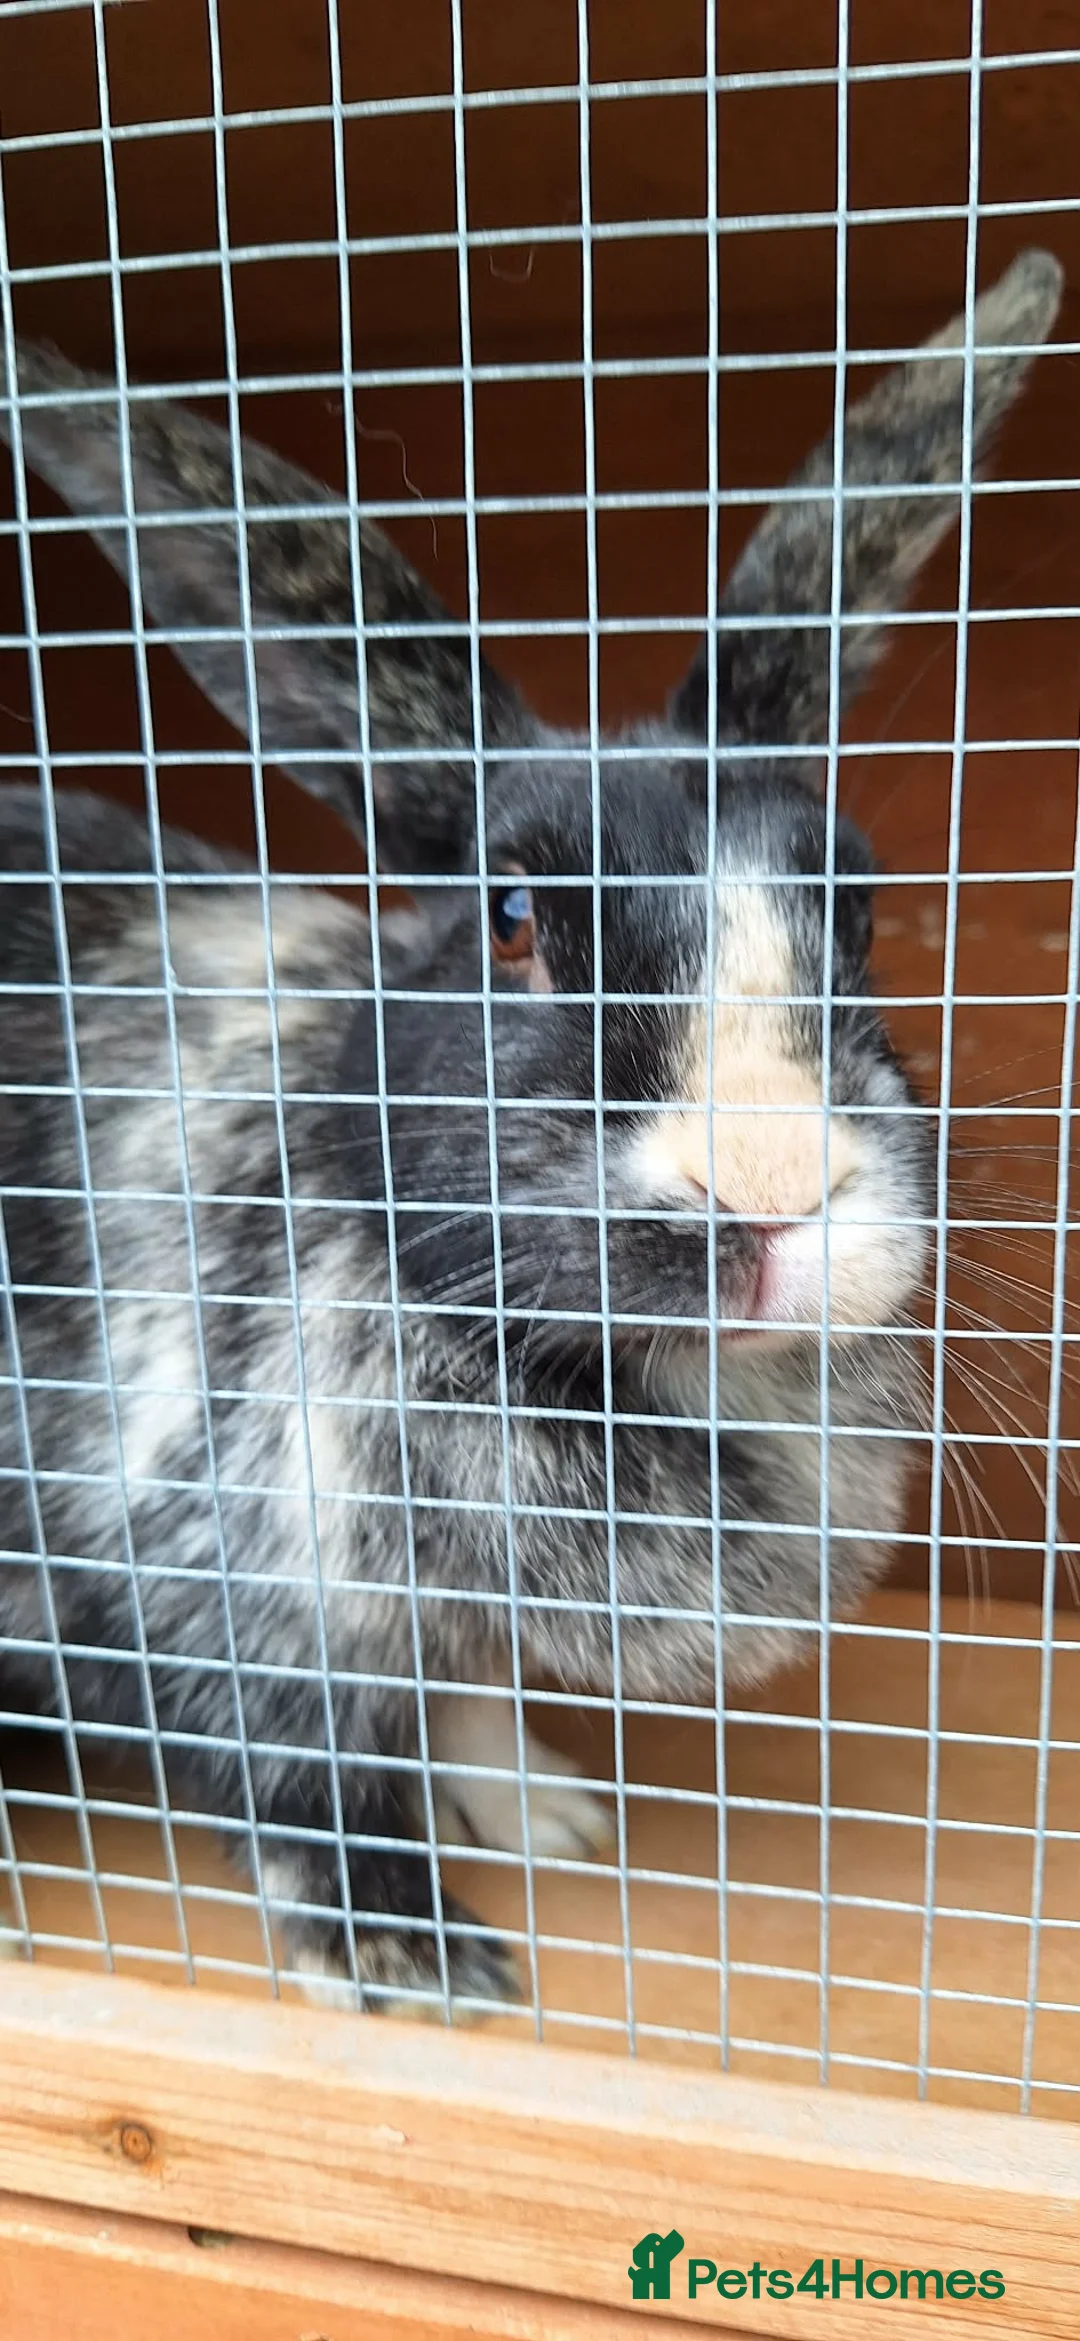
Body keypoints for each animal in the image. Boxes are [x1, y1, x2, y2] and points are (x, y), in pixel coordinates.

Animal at [0, 248, 1063, 2015]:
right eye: (510, 921)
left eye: (853, 910)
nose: (769, 1199)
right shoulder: (226, 1566)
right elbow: (304, 1774)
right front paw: (420, 1963)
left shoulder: (432, 1612)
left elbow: (461, 1698)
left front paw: (549, 1815)